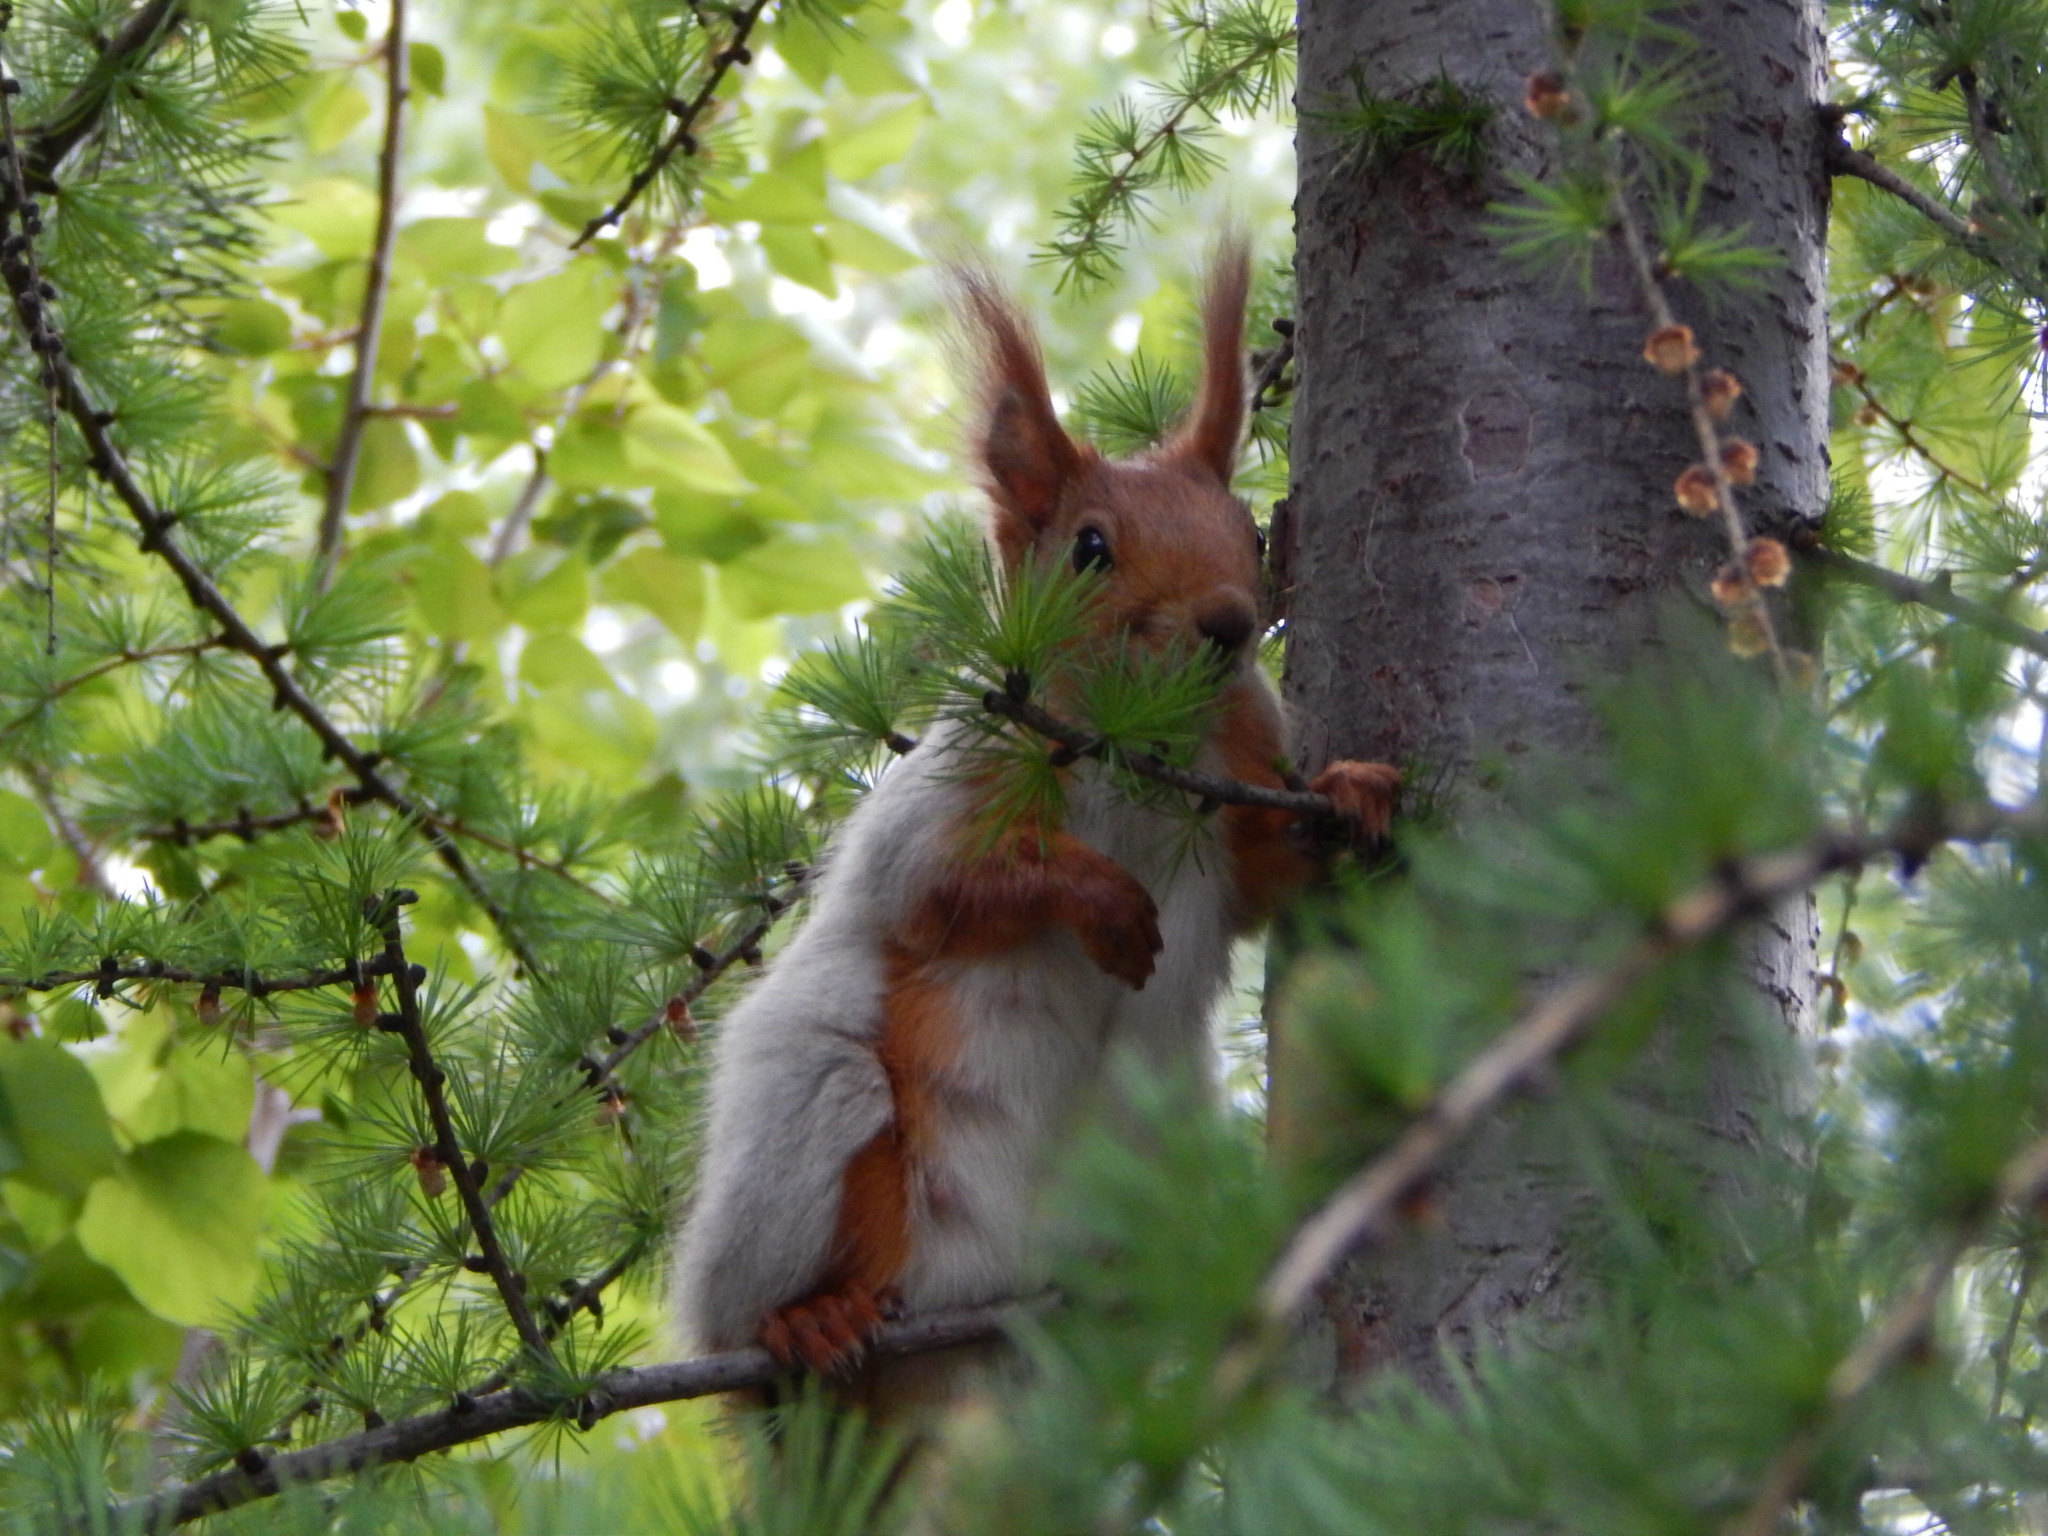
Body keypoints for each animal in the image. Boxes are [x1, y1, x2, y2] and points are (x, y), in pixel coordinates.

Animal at [679, 243, 1400, 1384]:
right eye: (1089, 549)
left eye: (1249, 530)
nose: (1229, 625)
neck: (1135, 749)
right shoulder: (943, 801)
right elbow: (943, 886)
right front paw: (1101, 901)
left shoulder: (1233, 786)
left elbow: (1266, 877)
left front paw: (1348, 795)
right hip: (810, 1111)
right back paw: (803, 1322)